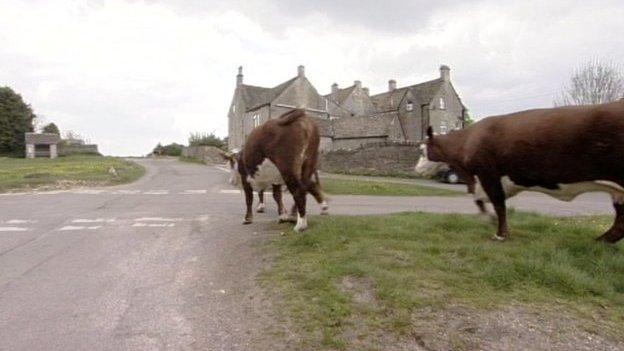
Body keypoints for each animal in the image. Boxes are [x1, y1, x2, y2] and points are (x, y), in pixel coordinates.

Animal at [414, 101, 624, 242]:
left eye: (423, 150)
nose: (416, 169)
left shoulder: (488, 174)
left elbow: (499, 204)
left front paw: (500, 234)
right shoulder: (482, 180)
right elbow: (479, 201)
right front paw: (488, 219)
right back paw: (599, 241)